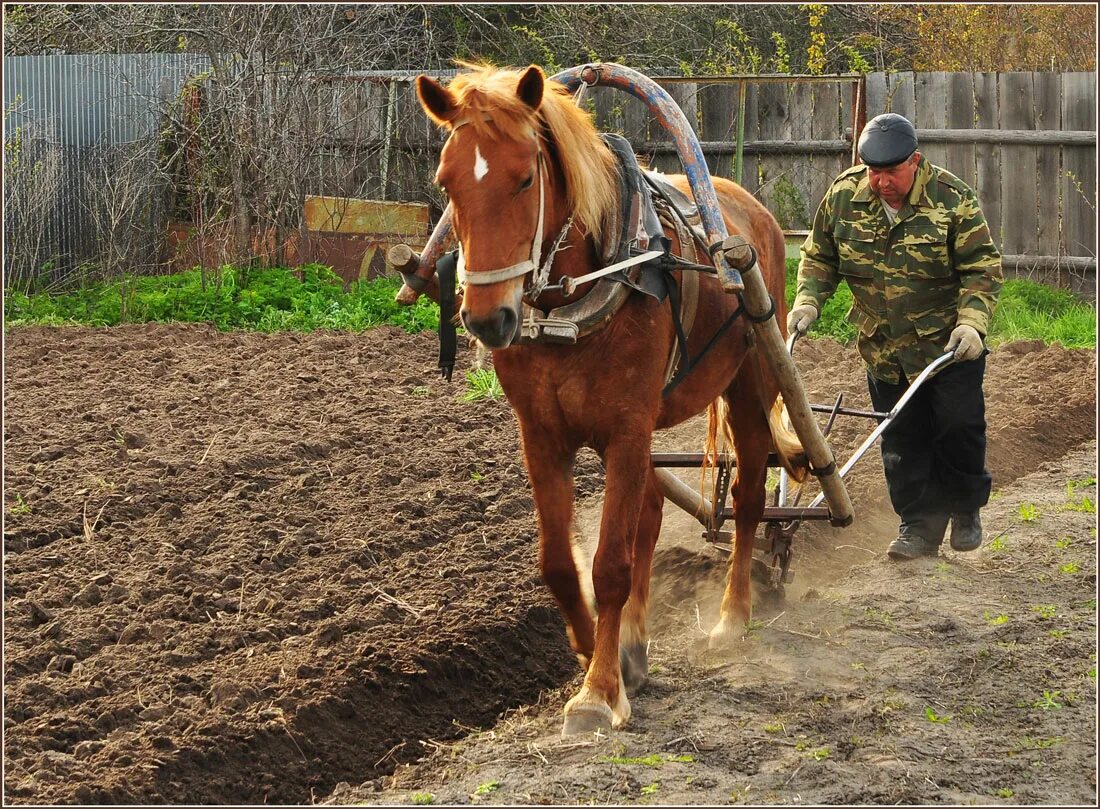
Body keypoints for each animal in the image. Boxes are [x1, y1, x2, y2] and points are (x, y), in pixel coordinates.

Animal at [413, 61, 809, 735]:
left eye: (525, 178)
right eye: (447, 180)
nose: (488, 319)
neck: (576, 300)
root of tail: (749, 206)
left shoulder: (626, 428)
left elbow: (610, 564)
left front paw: (598, 692)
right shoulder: (543, 433)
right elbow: (559, 562)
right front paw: (595, 651)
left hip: (750, 380)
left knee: (749, 497)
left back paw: (732, 617)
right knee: (649, 514)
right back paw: (635, 646)